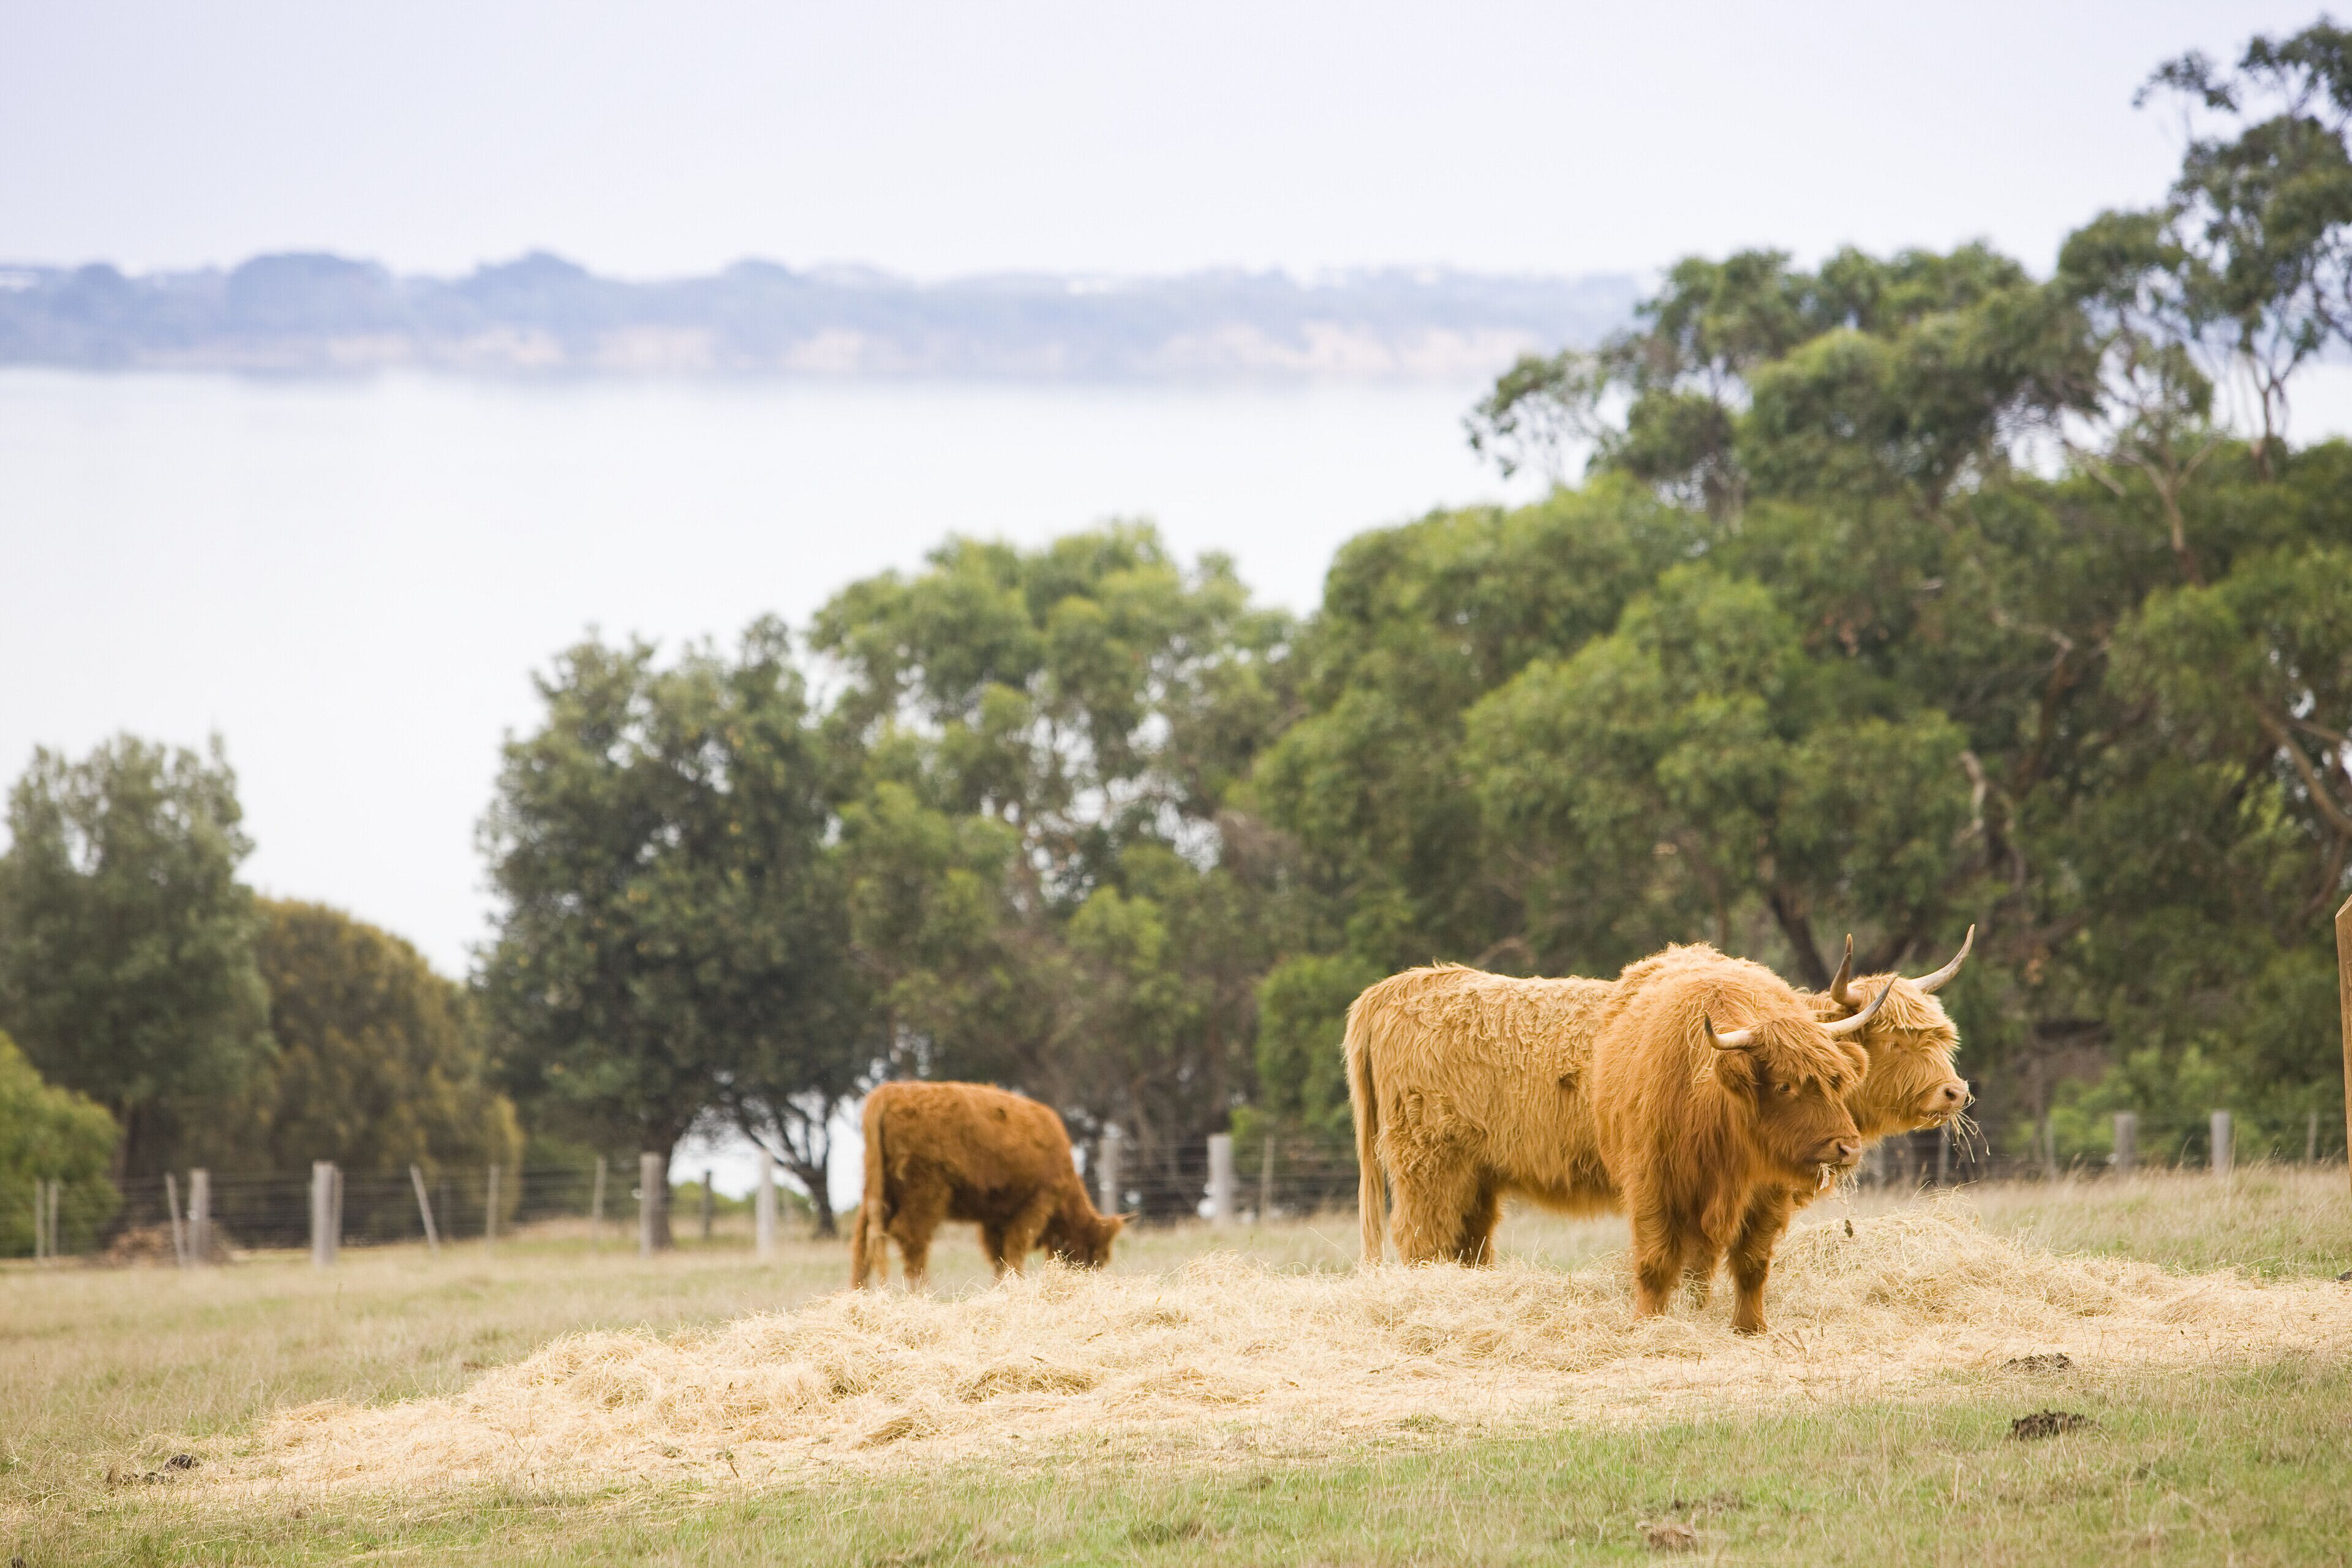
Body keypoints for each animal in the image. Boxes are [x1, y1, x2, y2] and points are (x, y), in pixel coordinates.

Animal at [849, 1080, 1125, 1290]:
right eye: (1097, 1254)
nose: (1089, 1278)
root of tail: (891, 1092)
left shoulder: (995, 1218)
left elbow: (1000, 1256)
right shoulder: (1035, 1206)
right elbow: (1014, 1250)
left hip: (878, 1193)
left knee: (864, 1239)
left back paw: (860, 1292)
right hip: (926, 1195)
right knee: (911, 1238)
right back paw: (923, 1292)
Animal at [1348, 943, 1890, 1333]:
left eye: (1838, 1080)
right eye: (1785, 1086)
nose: (1847, 1147)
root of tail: (1398, 987)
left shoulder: (1765, 1195)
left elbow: (1749, 1264)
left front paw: (1749, 1329)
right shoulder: (1651, 1183)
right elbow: (1655, 1261)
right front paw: (1646, 1328)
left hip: (1475, 1180)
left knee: (1470, 1243)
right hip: (1429, 1170)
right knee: (1424, 1240)